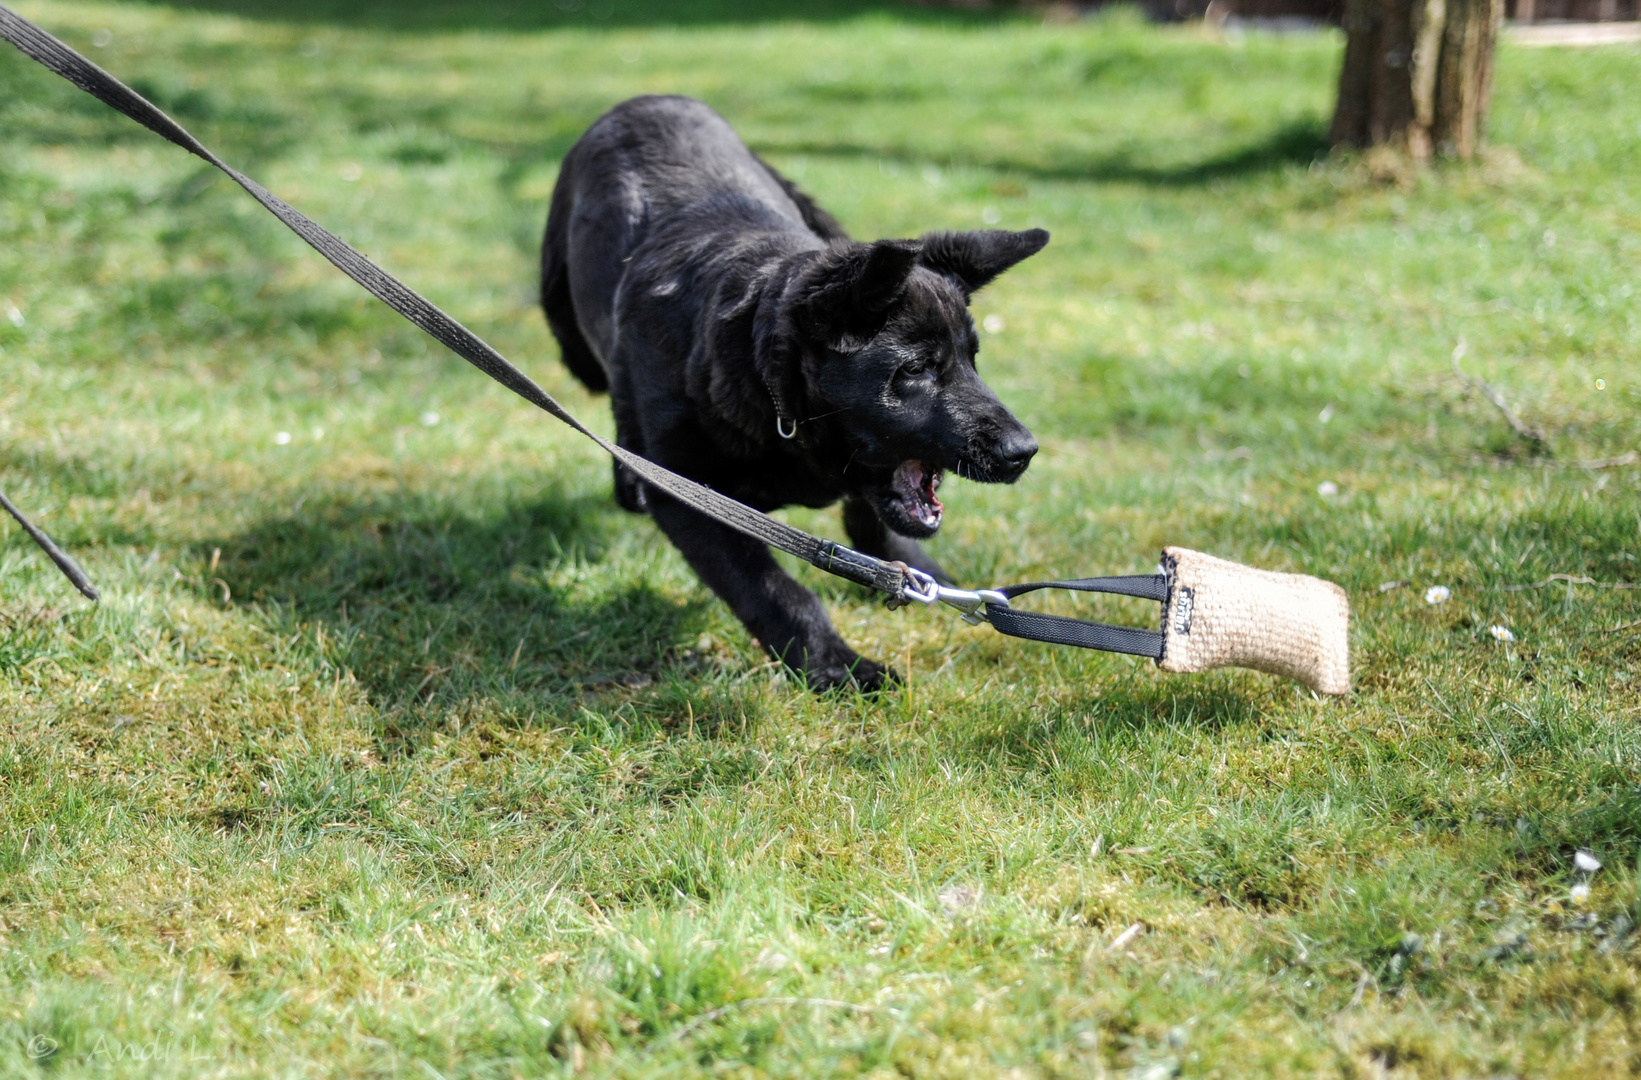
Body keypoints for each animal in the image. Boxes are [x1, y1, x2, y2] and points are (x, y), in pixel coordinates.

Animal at [544, 94, 1043, 689]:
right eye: (918, 369)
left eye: (973, 359)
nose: (1025, 452)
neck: (768, 388)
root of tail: (647, 99)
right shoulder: (686, 493)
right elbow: (775, 592)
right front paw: (839, 667)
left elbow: (872, 522)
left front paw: (919, 577)